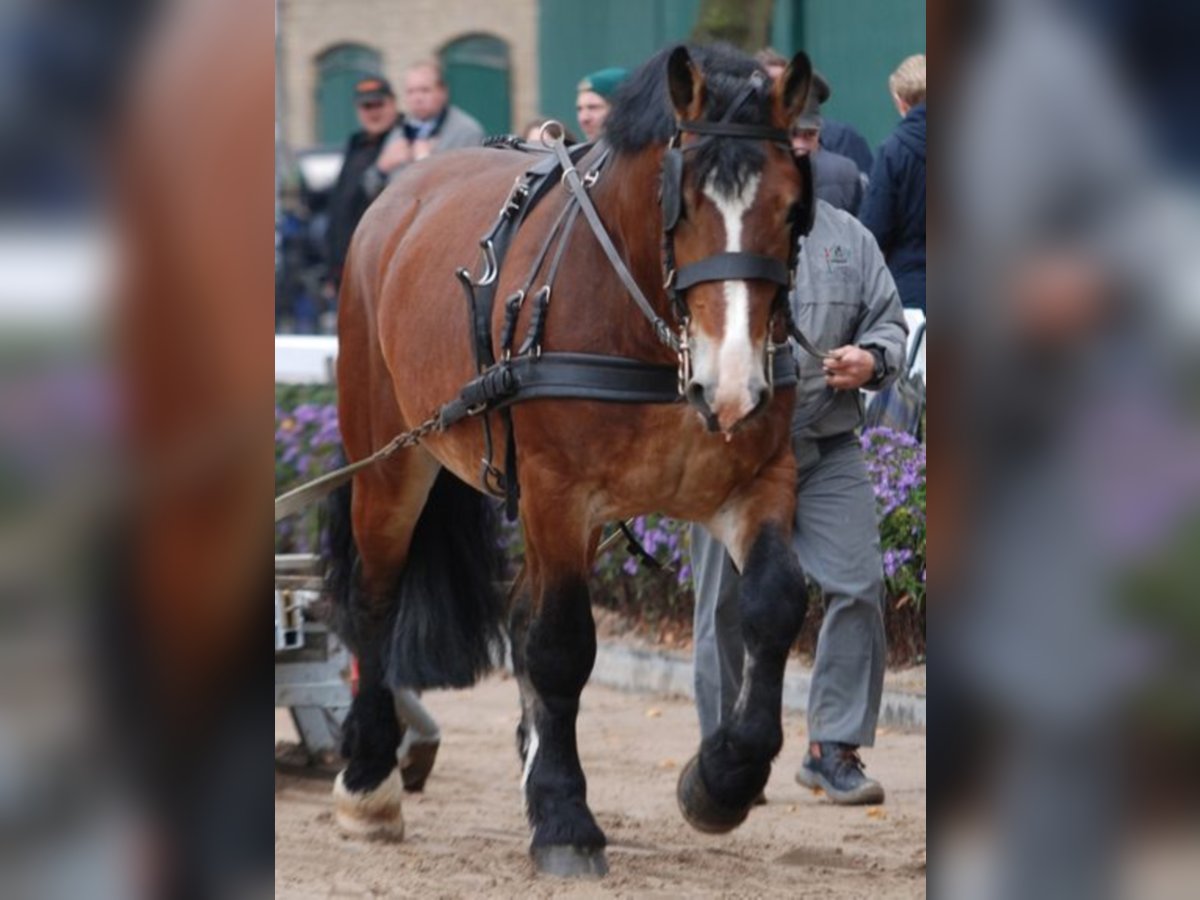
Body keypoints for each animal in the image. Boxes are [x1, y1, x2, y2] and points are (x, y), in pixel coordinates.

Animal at [326, 44, 816, 883]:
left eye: (791, 210)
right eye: (680, 205)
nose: (730, 387)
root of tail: (401, 194)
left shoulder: (756, 481)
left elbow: (775, 603)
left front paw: (721, 778)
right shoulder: (558, 493)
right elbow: (559, 646)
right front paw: (564, 818)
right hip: (390, 460)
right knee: (375, 601)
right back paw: (369, 782)